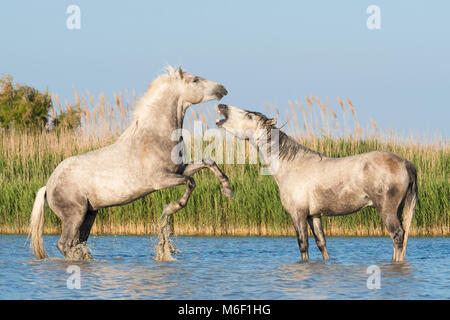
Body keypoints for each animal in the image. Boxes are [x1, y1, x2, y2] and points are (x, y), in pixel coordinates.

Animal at [216, 105, 416, 262]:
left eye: (249, 116)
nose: (222, 106)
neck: (291, 166)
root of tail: (405, 163)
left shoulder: (298, 214)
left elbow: (303, 245)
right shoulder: (314, 216)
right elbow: (322, 244)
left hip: (387, 211)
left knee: (398, 236)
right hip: (397, 210)